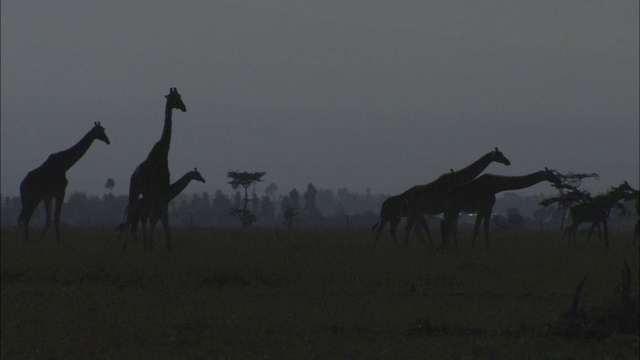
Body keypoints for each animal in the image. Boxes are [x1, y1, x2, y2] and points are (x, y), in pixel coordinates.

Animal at [124, 87, 186, 250]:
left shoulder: (155, 192)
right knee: (133, 211)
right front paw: (169, 245)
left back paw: (138, 244)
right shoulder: (163, 188)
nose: (184, 107)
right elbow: (162, 216)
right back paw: (127, 244)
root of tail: (133, 175)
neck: (164, 151)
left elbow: (155, 217)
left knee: (137, 213)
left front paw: (152, 244)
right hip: (136, 190)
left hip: (140, 191)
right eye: (178, 98)